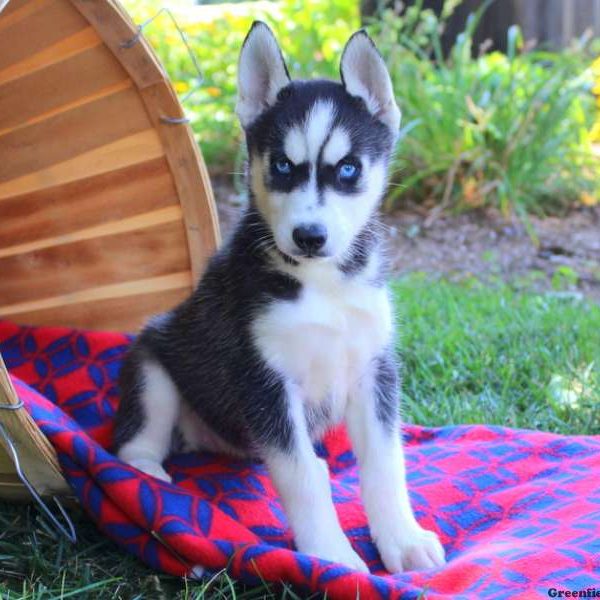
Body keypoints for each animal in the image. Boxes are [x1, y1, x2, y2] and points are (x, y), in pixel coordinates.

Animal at [113, 21, 446, 576]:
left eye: (348, 169)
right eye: (283, 166)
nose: (309, 236)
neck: (324, 284)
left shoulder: (374, 370)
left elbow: (385, 463)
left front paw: (403, 539)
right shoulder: (264, 380)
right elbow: (301, 476)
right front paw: (331, 556)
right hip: (153, 367)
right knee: (133, 443)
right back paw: (147, 480)